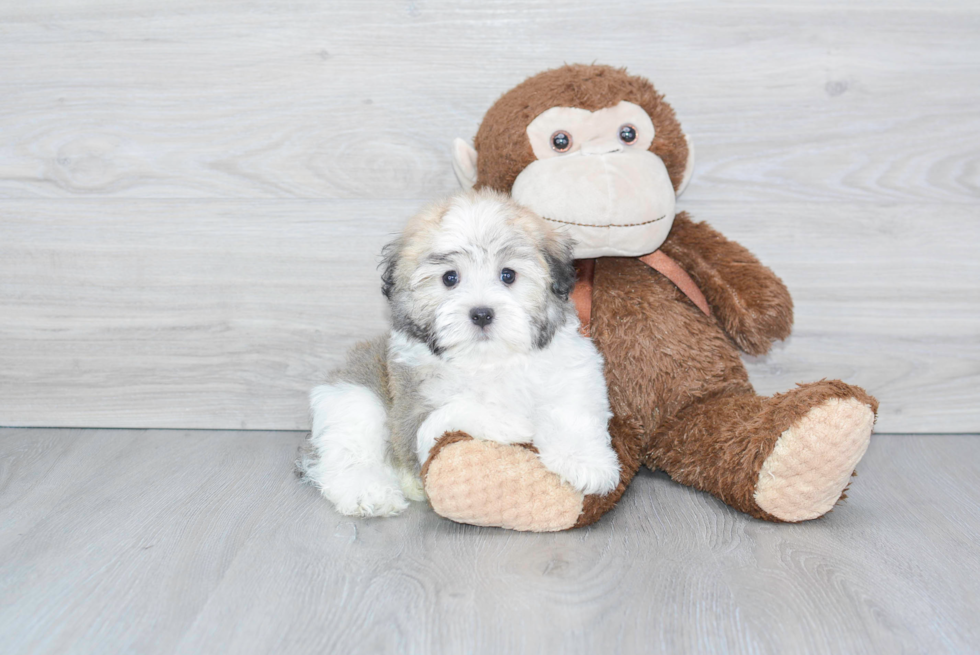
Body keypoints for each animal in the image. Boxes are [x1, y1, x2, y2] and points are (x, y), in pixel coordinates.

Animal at [298, 190, 620, 516]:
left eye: (508, 275)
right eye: (449, 278)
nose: (481, 314)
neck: (489, 360)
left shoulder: (574, 369)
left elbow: (573, 411)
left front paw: (586, 462)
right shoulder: (412, 417)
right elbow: (453, 411)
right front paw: (511, 421)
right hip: (353, 395)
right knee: (349, 447)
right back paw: (368, 491)